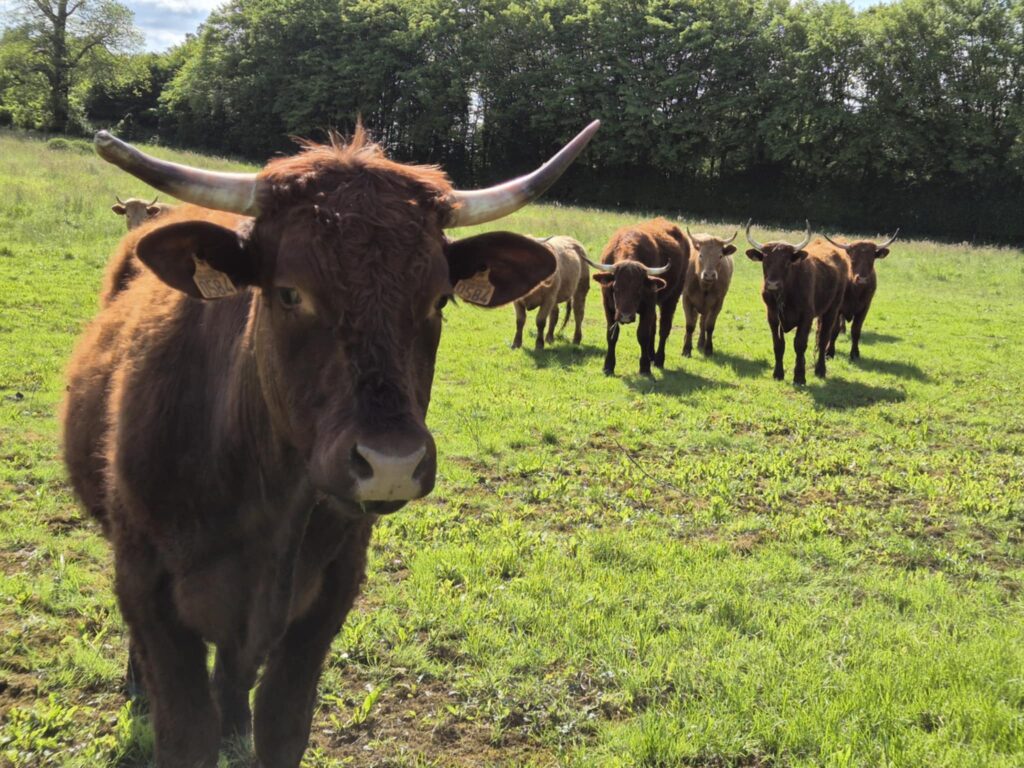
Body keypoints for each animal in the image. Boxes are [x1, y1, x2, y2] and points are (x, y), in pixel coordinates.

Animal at [63, 120, 598, 768]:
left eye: (439, 299)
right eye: (290, 293)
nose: (391, 463)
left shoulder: (326, 601)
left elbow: (281, 725)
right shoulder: (148, 589)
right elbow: (186, 732)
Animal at [585, 218, 688, 376]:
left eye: (639, 290)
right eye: (615, 288)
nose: (626, 316)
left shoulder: (648, 305)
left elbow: (643, 335)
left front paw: (644, 367)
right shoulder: (609, 306)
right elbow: (612, 335)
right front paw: (608, 366)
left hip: (672, 298)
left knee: (664, 329)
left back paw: (658, 359)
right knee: (654, 326)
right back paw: (651, 355)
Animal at [681, 227, 737, 357]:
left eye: (720, 256)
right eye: (701, 255)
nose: (709, 275)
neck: (704, 286)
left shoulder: (717, 303)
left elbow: (709, 326)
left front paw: (708, 349)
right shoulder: (686, 299)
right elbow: (690, 325)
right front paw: (686, 349)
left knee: (702, 322)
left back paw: (701, 343)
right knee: (695, 319)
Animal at [745, 221, 847, 385]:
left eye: (787, 262)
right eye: (765, 261)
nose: (772, 284)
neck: (786, 293)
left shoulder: (806, 317)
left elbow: (799, 344)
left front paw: (799, 376)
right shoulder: (773, 317)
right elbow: (778, 345)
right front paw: (778, 373)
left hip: (832, 310)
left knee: (824, 338)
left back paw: (820, 370)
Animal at [822, 230, 899, 360]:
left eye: (872, 260)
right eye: (853, 260)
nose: (862, 279)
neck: (855, 291)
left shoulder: (864, 307)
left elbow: (856, 330)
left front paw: (855, 353)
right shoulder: (837, 308)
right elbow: (834, 330)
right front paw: (829, 352)